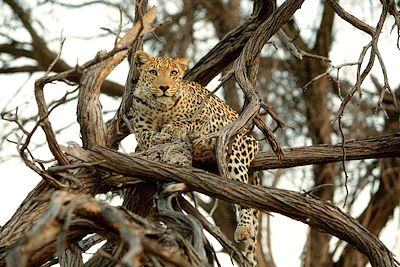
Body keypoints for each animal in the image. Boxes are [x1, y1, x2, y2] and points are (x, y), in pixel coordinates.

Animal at [131, 50, 260, 267]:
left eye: (174, 73)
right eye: (153, 72)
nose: (164, 87)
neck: (161, 110)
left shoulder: (206, 114)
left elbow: (189, 120)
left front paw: (173, 128)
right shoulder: (140, 130)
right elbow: (147, 136)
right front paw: (159, 138)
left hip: (239, 145)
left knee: (242, 192)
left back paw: (244, 227)